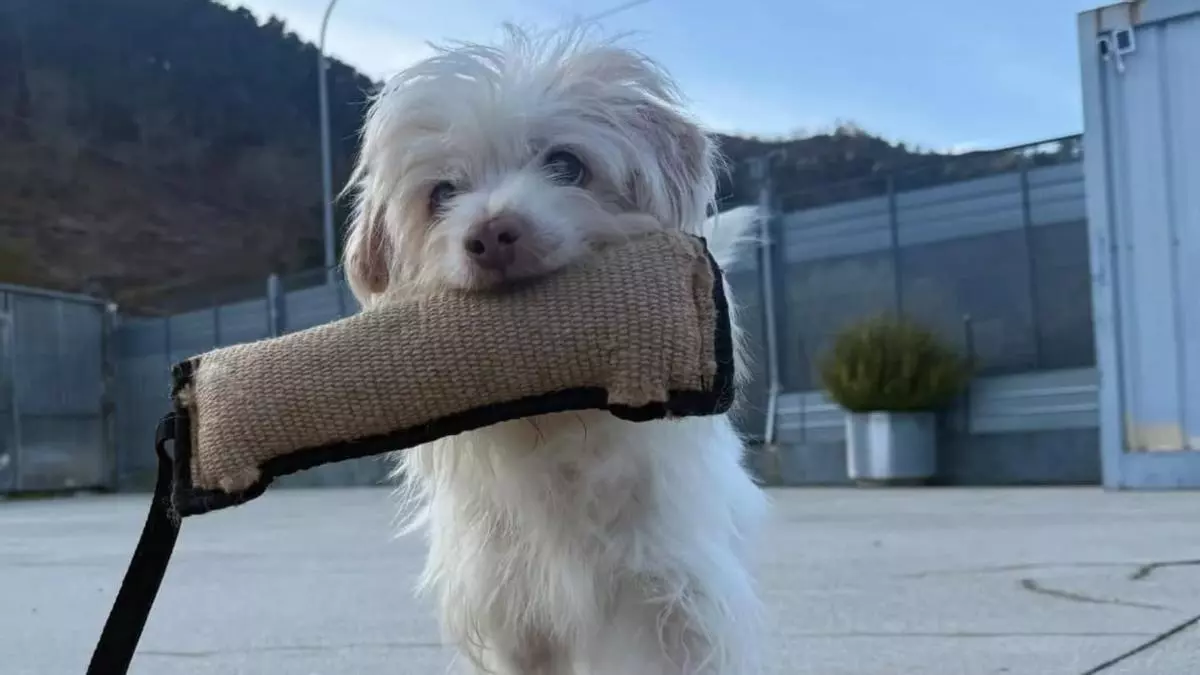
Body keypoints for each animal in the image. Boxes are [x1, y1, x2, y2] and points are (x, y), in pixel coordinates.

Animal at [342, 25, 768, 675]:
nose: (490, 236)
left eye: (566, 165)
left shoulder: (680, 600)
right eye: (442, 194)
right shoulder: (513, 614)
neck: (555, 418)